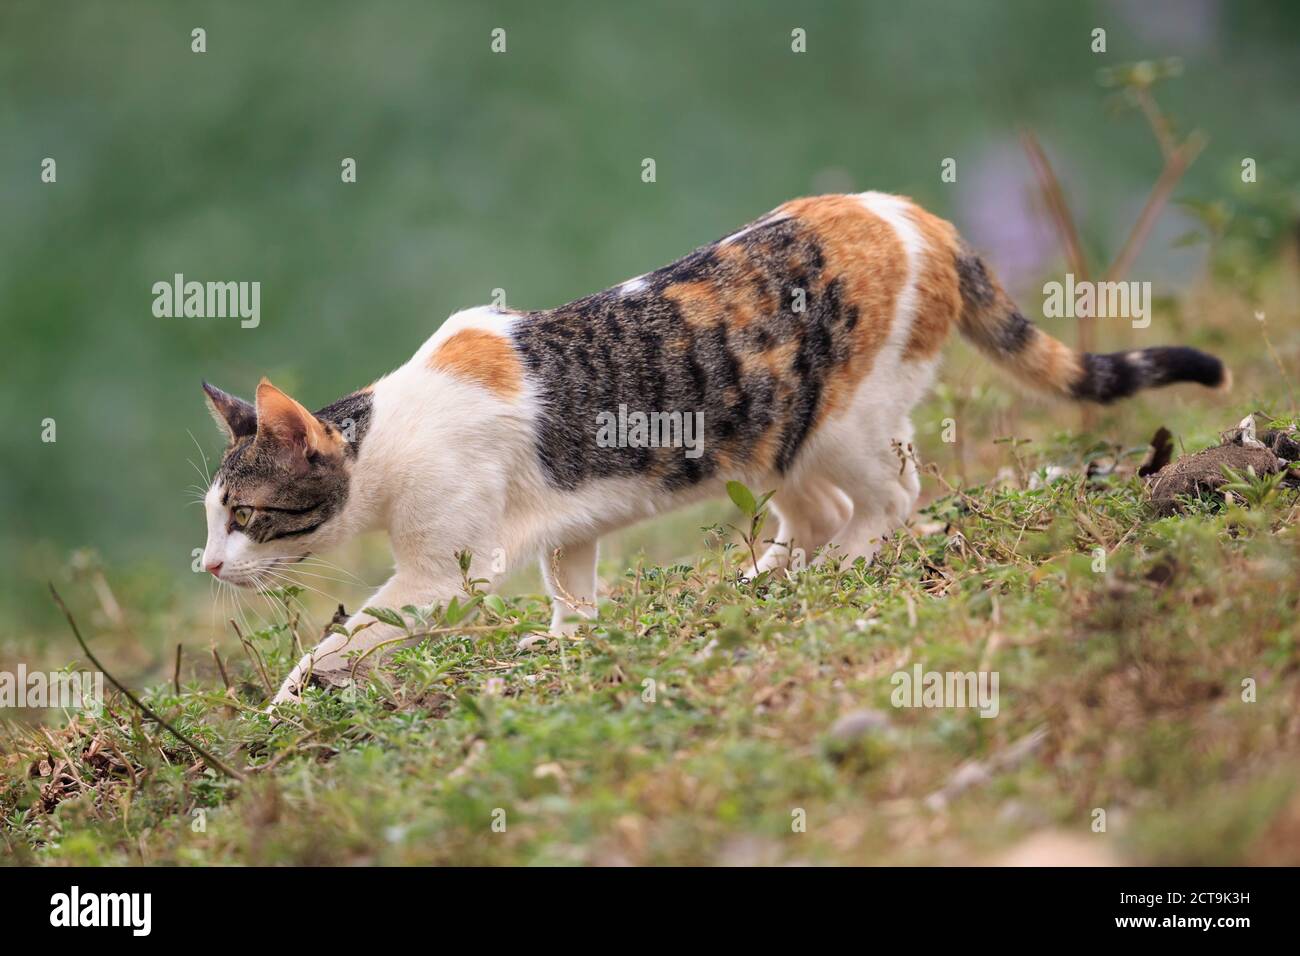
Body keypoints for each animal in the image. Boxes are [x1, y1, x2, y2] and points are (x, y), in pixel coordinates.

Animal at [200, 192, 1227, 702]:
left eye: (247, 514)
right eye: (211, 516)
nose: (206, 565)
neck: (387, 439)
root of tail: (914, 216)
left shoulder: (446, 572)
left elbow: (344, 637)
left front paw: (293, 695)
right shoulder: (567, 529)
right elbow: (572, 589)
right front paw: (568, 642)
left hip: (842, 426)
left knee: (890, 501)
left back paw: (841, 565)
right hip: (776, 444)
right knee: (816, 513)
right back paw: (767, 576)